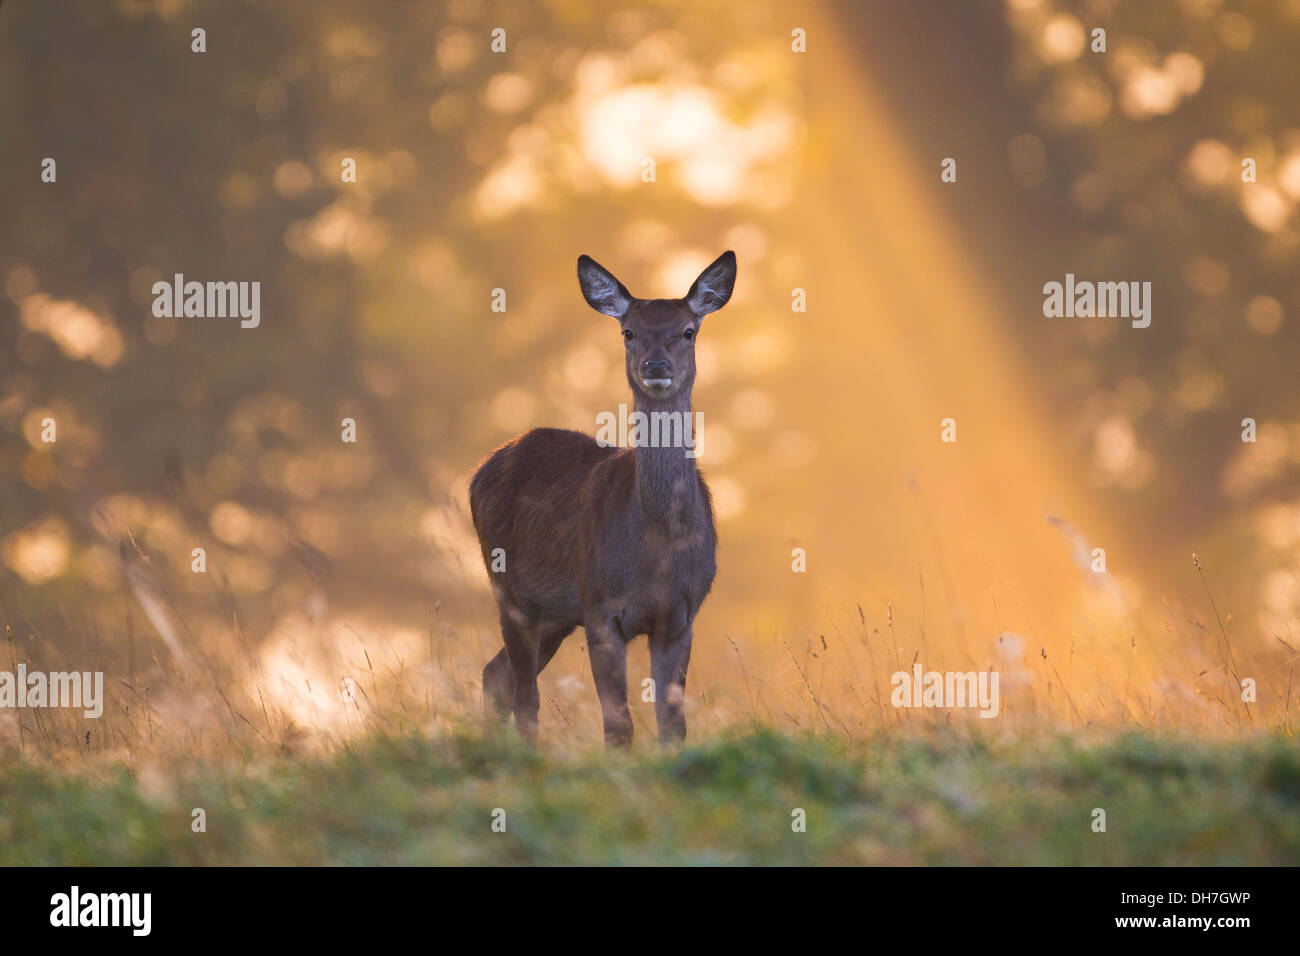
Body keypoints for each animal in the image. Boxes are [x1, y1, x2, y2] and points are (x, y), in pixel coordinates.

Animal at [470, 251, 738, 749]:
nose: (656, 364)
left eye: (688, 330)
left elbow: (673, 726)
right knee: (523, 694)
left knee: (496, 674)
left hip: (555, 614)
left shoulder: (682, 615)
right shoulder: (600, 609)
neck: (657, 550)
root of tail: (481, 470)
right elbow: (618, 725)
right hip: (509, 590)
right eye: (628, 331)